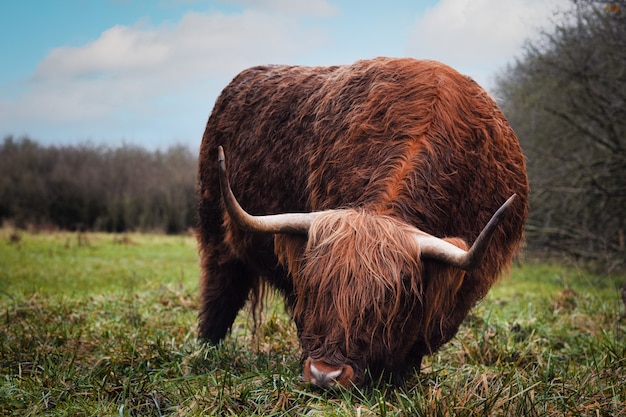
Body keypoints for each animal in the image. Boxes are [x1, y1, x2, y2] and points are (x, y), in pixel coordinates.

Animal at [196, 57, 528, 386]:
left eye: (387, 300)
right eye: (313, 285)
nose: (325, 374)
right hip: (217, 237)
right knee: (219, 294)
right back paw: (206, 351)